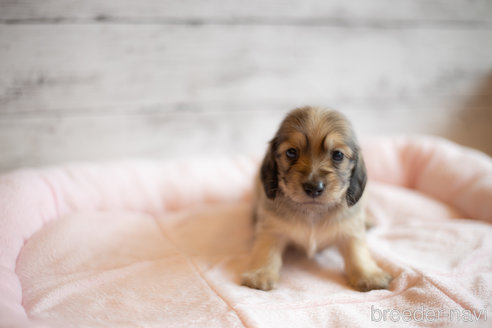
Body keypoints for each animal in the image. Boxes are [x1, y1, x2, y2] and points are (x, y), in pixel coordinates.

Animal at [242, 106, 392, 290]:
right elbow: (265, 251)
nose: (313, 188)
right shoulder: (271, 229)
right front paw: (260, 274)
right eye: (291, 152)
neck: (313, 212)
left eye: (338, 155)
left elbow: (358, 252)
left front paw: (369, 275)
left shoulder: (350, 229)